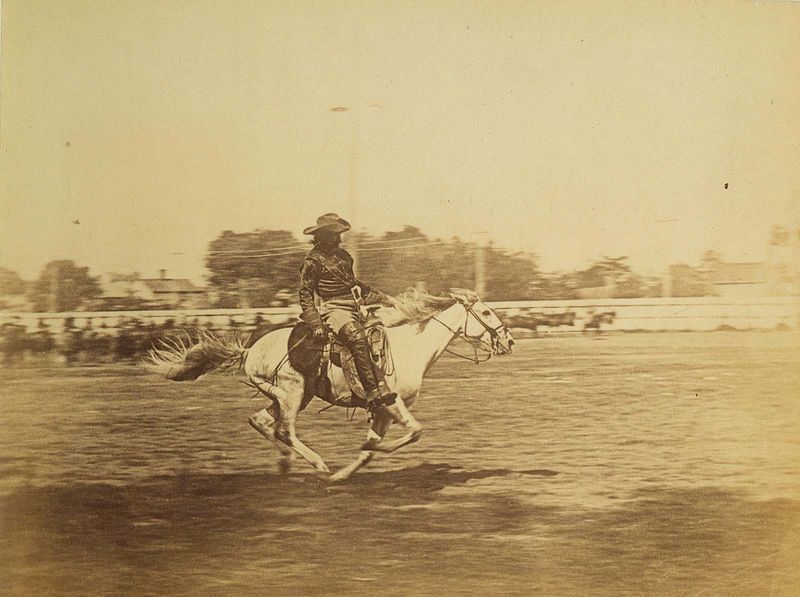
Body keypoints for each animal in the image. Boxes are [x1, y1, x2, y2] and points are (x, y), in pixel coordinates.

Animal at [148, 288, 516, 480]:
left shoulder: (383, 410)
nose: (509, 341)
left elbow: (370, 450)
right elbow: (414, 432)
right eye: (486, 312)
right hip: (292, 393)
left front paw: (346, 472)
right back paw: (316, 463)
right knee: (285, 430)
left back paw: (287, 463)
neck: (410, 346)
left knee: (261, 422)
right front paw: (361, 454)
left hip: (293, 396)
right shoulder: (391, 401)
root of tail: (250, 350)